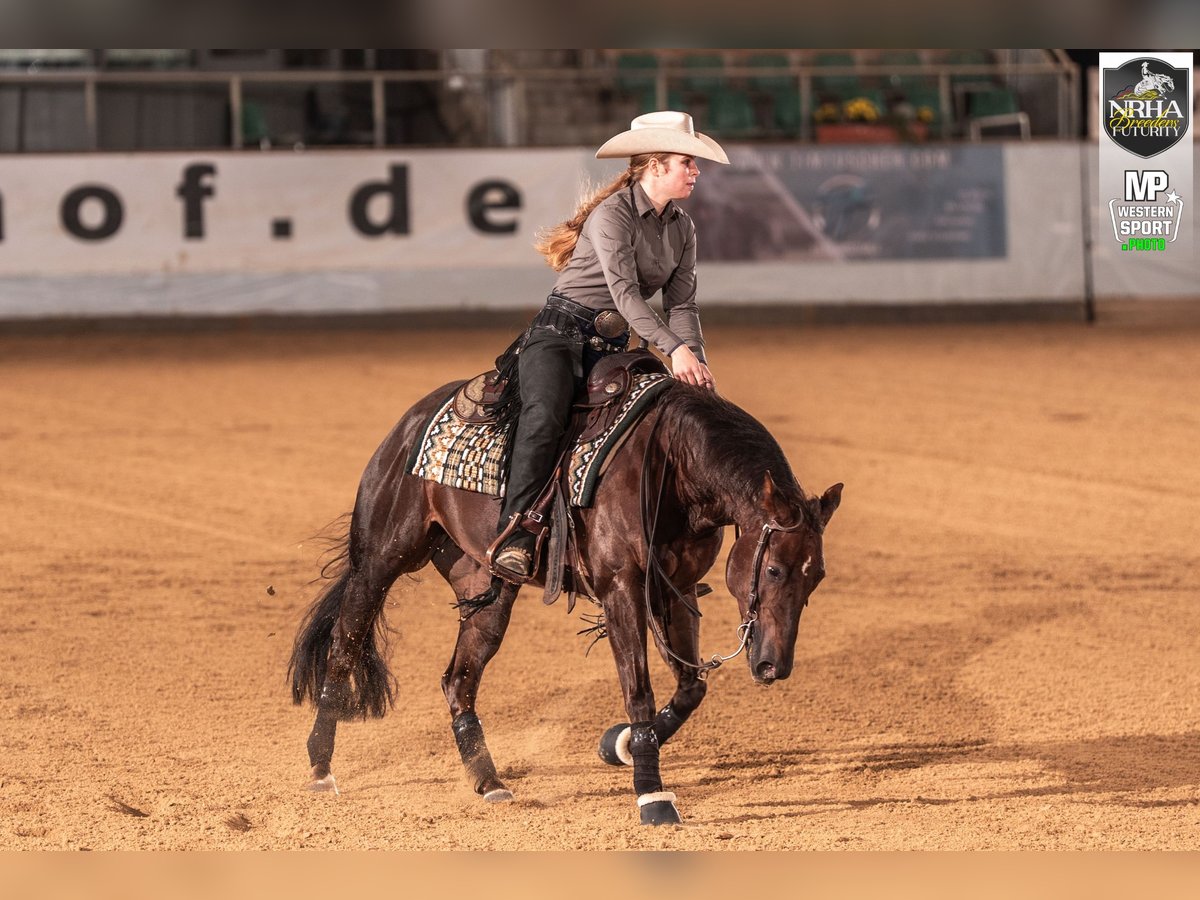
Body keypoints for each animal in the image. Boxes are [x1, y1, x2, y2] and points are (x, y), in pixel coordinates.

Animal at [288, 371, 842, 826]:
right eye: (773, 568)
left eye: (816, 578)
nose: (773, 665)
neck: (674, 462)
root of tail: (409, 424)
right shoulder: (622, 590)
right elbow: (638, 689)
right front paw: (652, 797)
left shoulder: (676, 589)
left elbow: (690, 688)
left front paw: (619, 745)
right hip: (381, 560)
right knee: (344, 646)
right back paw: (320, 768)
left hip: (484, 587)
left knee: (458, 679)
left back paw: (488, 781)